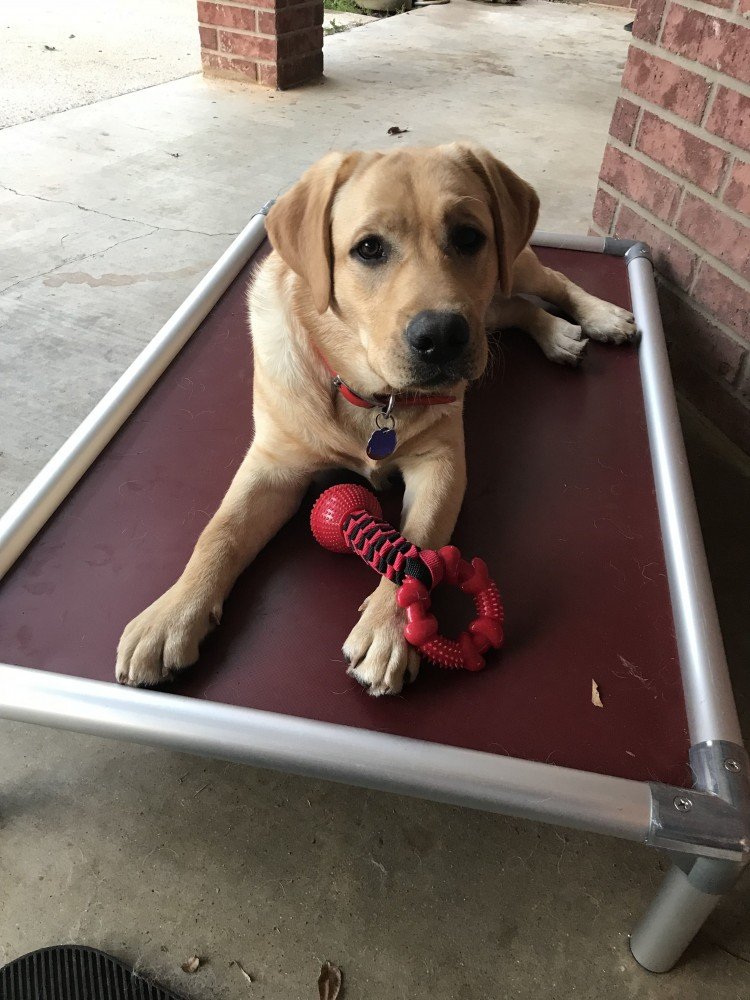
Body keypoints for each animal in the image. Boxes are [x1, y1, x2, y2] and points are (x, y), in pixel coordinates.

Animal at [116, 142, 636, 696]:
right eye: (368, 249)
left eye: (469, 236)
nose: (442, 336)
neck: (371, 397)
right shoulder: (273, 463)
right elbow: (220, 532)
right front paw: (171, 616)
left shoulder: (442, 464)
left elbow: (419, 546)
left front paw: (389, 629)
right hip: (490, 309)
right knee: (514, 307)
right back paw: (556, 332)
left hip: (511, 269)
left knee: (548, 283)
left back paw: (596, 318)